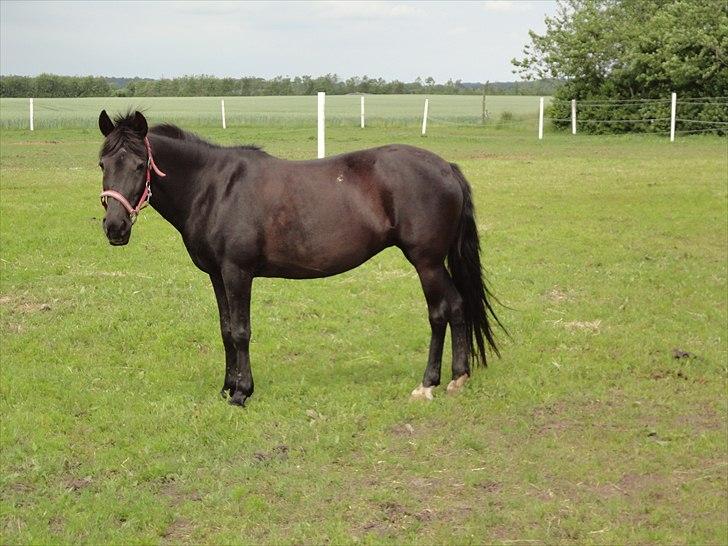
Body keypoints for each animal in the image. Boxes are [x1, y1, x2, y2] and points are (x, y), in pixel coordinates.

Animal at [97, 110, 503, 406]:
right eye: (103, 164)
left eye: (139, 165)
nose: (115, 227)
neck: (213, 188)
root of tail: (446, 167)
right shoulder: (217, 274)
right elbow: (226, 330)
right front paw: (227, 387)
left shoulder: (237, 272)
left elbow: (241, 331)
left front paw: (242, 393)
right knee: (456, 307)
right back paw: (456, 377)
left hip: (427, 262)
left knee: (442, 311)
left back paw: (430, 383)